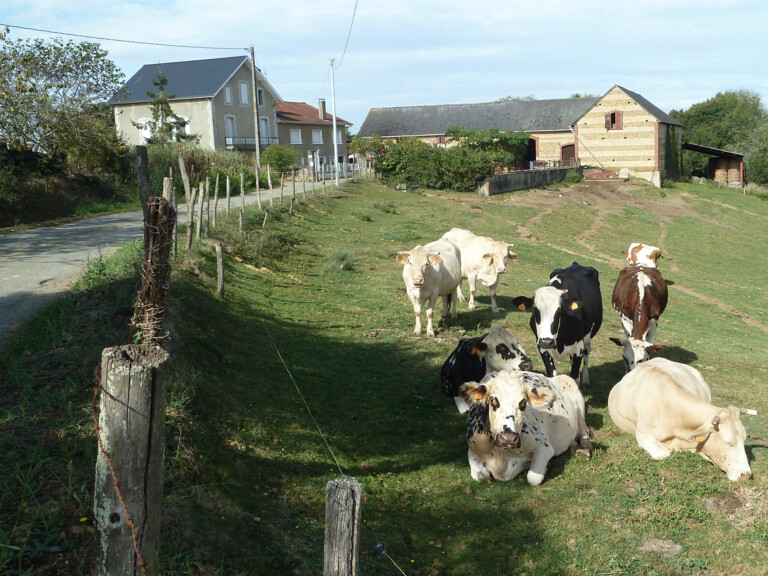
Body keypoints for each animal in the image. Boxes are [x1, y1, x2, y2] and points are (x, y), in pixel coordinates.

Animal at [456, 368, 592, 486]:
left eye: (523, 402)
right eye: (493, 400)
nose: (508, 438)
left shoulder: (544, 447)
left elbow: (533, 478)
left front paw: (544, 466)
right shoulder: (473, 449)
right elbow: (481, 476)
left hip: (576, 396)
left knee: (583, 428)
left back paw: (585, 445)